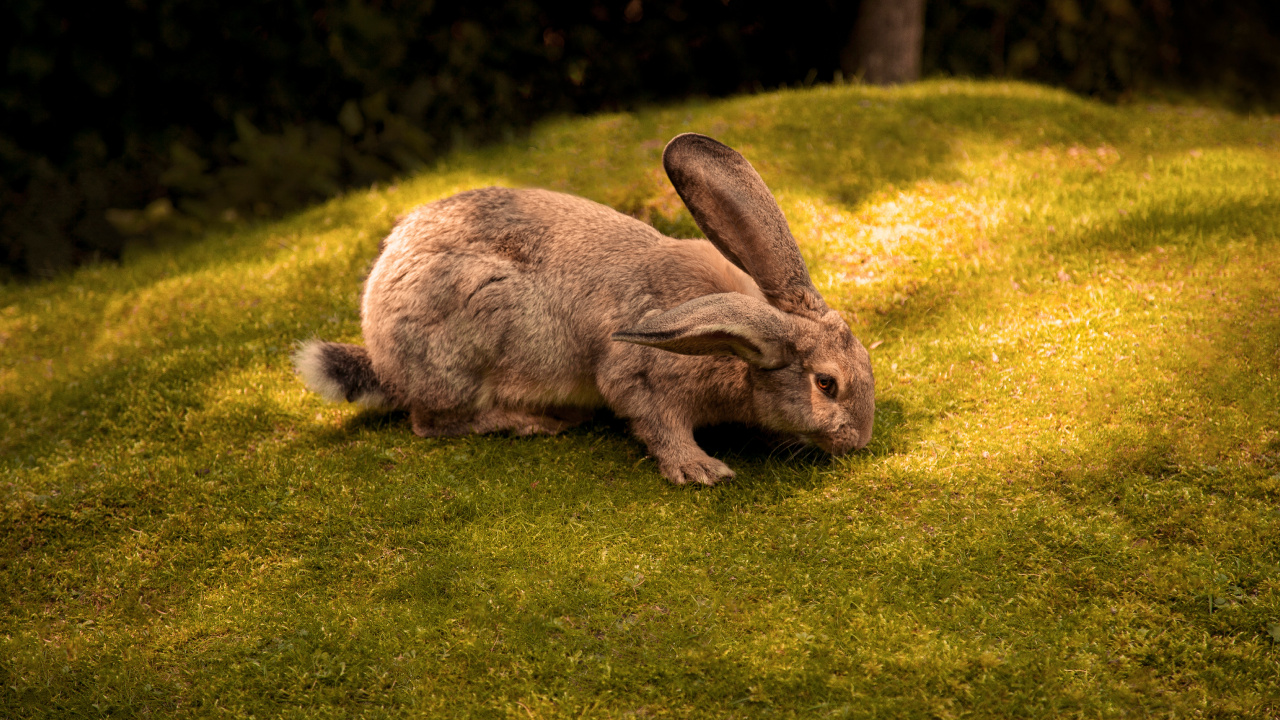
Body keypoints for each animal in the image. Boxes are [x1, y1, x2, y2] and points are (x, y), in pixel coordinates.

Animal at [294, 133, 874, 485]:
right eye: (827, 384)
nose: (861, 440)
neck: (738, 344)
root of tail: (382, 355)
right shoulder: (641, 377)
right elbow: (656, 422)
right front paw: (701, 469)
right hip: (469, 334)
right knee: (433, 422)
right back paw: (533, 422)